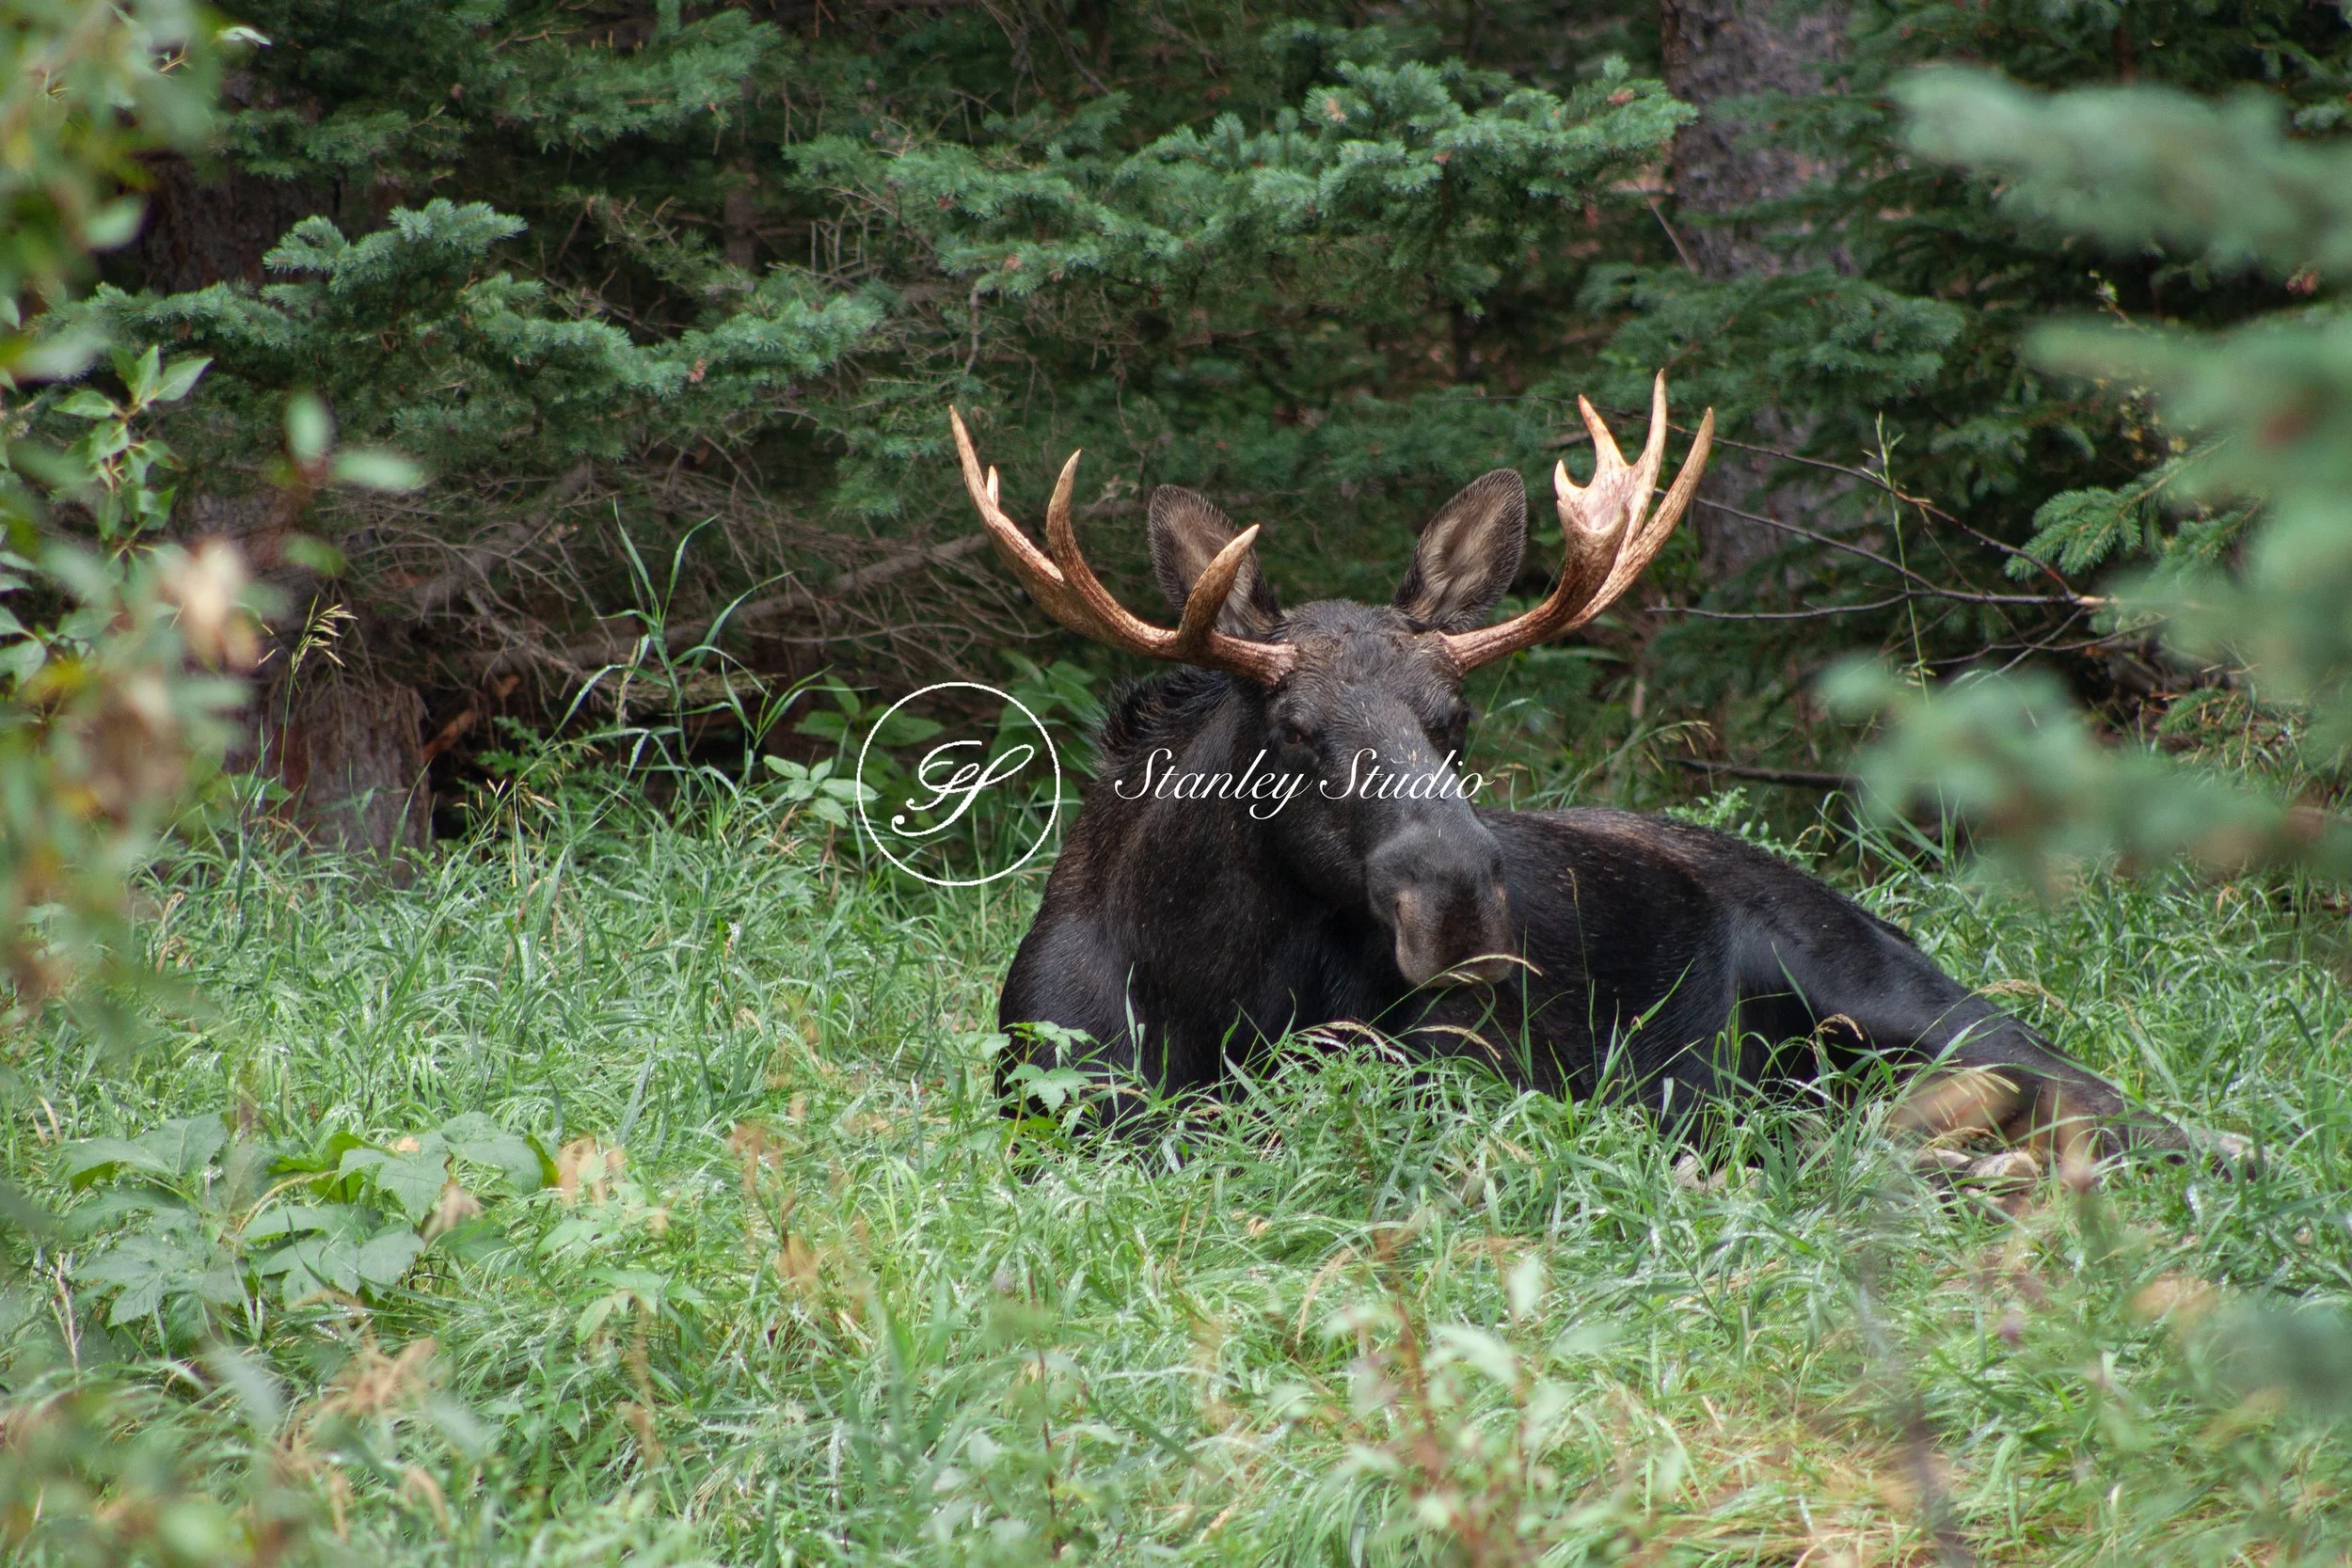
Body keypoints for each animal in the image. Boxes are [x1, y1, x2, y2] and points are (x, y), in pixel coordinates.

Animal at [946, 374, 2187, 1162]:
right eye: (1293, 727)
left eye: (1456, 718)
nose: (1457, 898)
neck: (1197, 992)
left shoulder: (1447, 1077)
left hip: (1890, 986)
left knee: (2124, 1105)